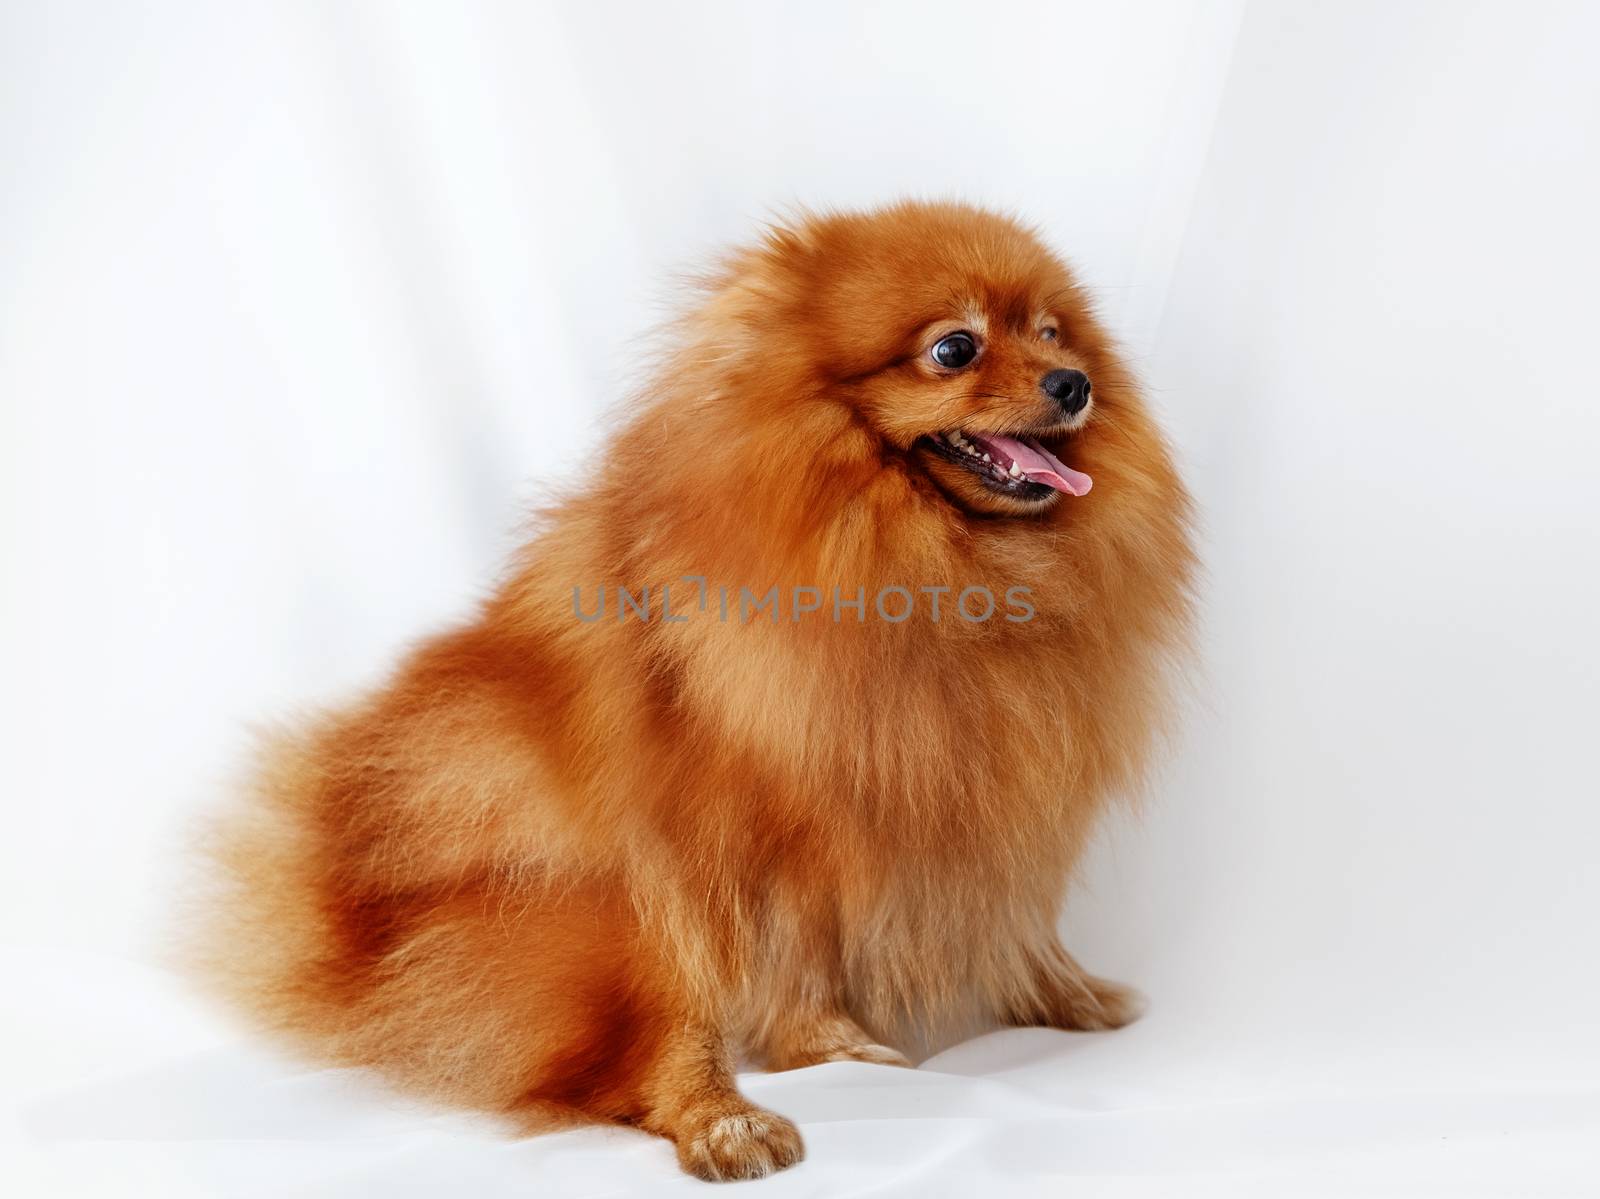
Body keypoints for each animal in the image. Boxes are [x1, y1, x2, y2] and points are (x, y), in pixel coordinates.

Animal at [190, 200, 1190, 1171]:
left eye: (1054, 333)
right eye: (955, 348)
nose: (1074, 383)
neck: (935, 562)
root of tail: (339, 911)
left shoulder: (994, 792)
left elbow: (1021, 916)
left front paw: (1067, 990)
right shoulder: (774, 820)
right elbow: (798, 945)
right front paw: (825, 1041)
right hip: (596, 922)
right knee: (645, 1046)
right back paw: (725, 1121)